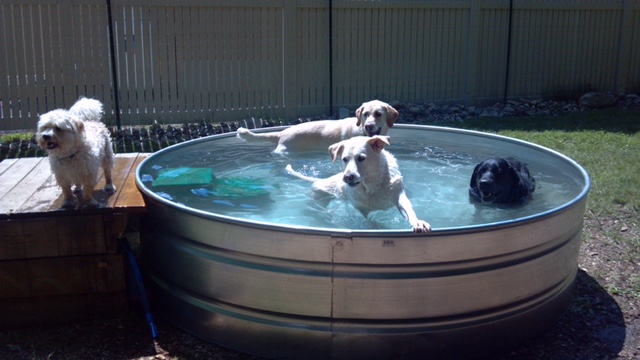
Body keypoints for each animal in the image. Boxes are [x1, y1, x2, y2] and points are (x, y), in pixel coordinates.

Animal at [284, 135, 430, 233]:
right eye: (344, 159)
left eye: (361, 158)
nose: (347, 177)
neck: (372, 185)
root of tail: (320, 180)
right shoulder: (360, 208)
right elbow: (367, 220)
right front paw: (376, 226)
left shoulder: (398, 195)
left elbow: (409, 209)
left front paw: (418, 223)